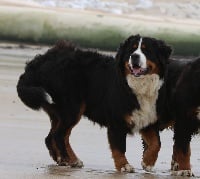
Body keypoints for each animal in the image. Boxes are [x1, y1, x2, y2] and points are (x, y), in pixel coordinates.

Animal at [16, 34, 171, 172]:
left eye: (146, 50)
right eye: (131, 51)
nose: (134, 56)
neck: (137, 86)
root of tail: (40, 61)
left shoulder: (147, 119)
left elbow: (156, 143)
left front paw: (148, 162)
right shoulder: (117, 121)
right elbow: (119, 147)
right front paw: (124, 166)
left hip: (61, 111)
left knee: (52, 138)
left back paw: (64, 160)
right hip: (72, 108)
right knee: (59, 136)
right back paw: (70, 160)